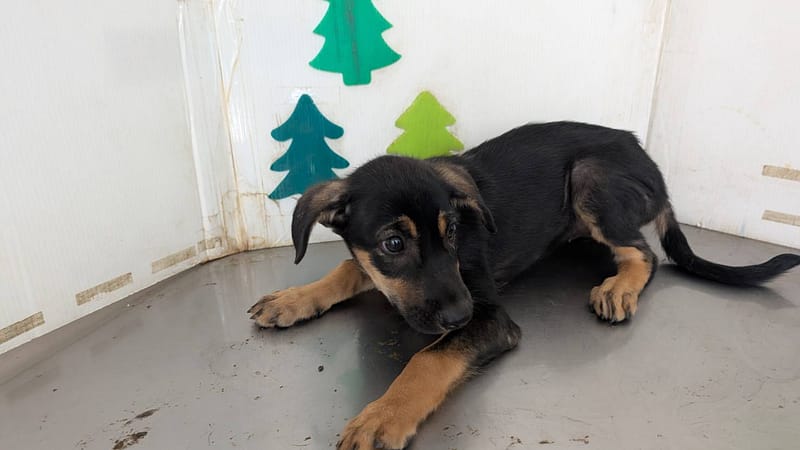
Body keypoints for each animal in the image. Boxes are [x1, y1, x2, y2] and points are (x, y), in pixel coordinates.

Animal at [248, 121, 800, 449]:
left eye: (454, 233)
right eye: (393, 244)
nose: (459, 317)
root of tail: (650, 163)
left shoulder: (492, 316)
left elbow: (428, 358)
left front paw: (381, 416)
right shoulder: (376, 268)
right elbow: (348, 269)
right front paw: (292, 300)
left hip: (590, 177)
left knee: (643, 253)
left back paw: (619, 286)